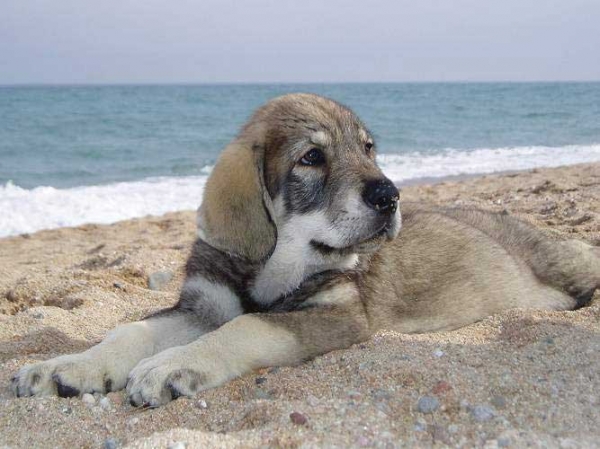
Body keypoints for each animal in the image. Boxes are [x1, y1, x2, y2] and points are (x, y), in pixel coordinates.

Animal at [10, 93, 600, 406]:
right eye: (312, 157)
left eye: (368, 149)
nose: (390, 195)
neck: (274, 265)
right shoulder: (201, 306)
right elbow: (131, 330)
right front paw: (70, 365)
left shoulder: (337, 316)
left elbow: (248, 327)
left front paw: (172, 365)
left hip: (568, 260)